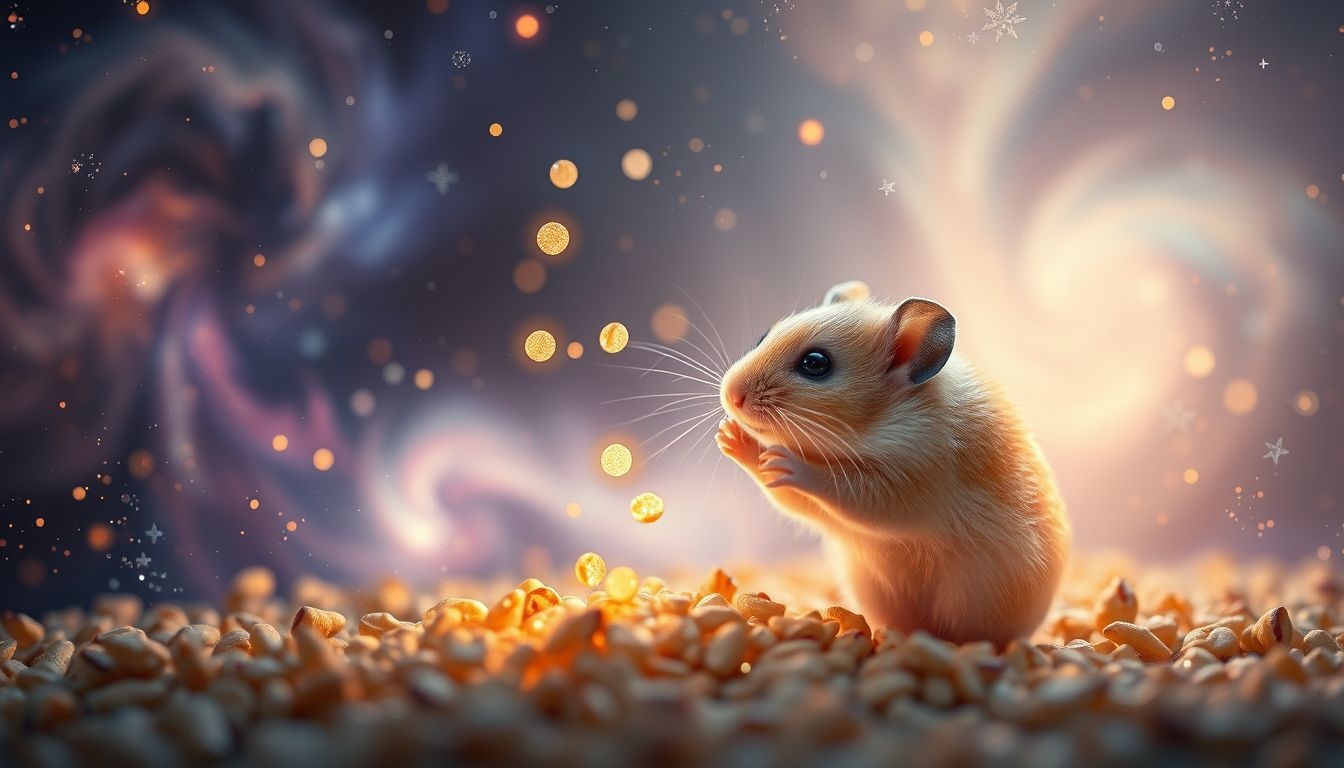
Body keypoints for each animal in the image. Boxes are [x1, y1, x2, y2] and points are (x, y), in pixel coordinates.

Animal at [716, 281, 1069, 645]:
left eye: (815, 363)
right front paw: (729, 437)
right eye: (763, 336)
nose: (730, 396)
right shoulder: (822, 508)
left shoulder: (910, 481)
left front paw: (787, 462)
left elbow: (841, 489)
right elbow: (791, 498)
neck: (873, 428)